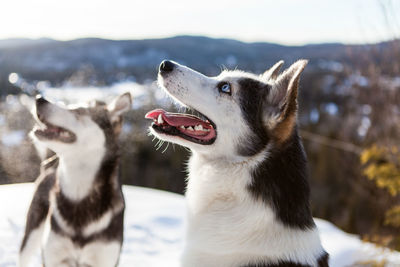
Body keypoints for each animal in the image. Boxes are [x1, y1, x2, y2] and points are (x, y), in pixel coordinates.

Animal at [18, 93, 131, 266]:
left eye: (78, 112)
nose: (39, 98)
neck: (78, 194)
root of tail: (49, 169)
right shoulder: (55, 257)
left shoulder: (103, 259)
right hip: (31, 236)